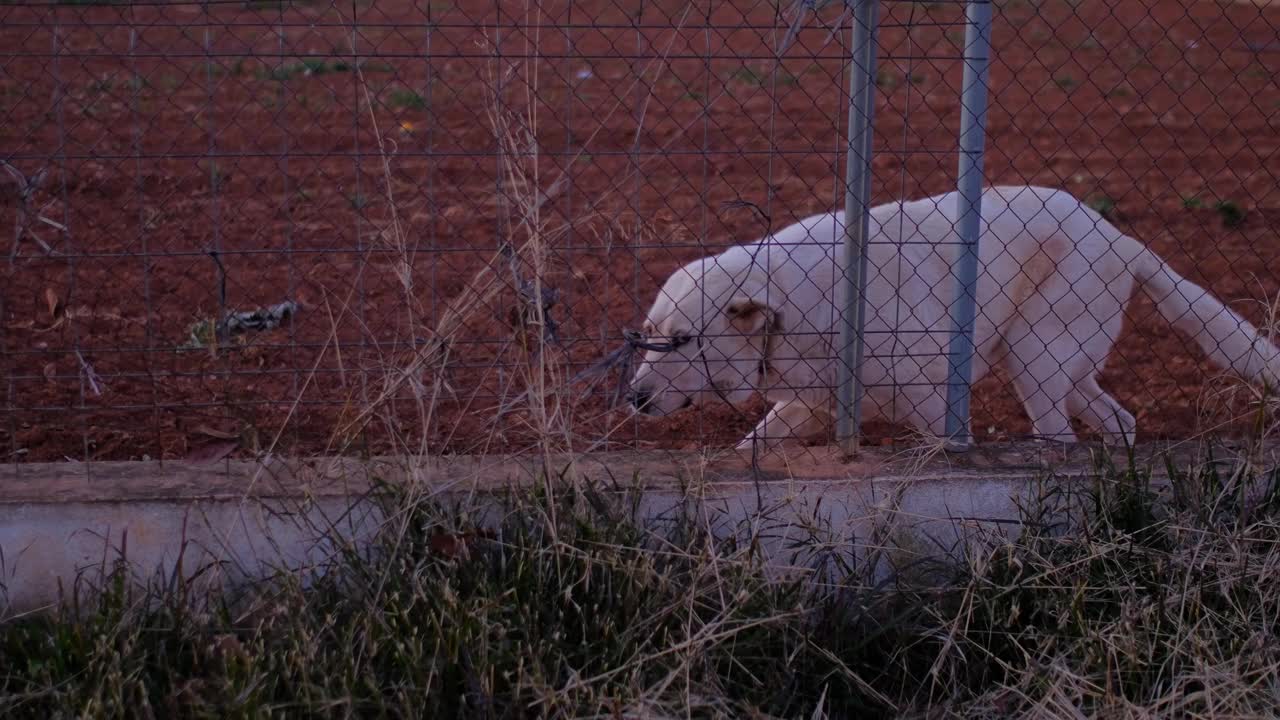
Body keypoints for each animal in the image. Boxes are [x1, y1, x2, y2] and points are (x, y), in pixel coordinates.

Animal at [627, 183, 1280, 448]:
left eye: (684, 341)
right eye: (649, 335)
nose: (632, 399)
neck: (790, 310)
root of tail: (1117, 236)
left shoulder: (935, 404)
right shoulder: (809, 406)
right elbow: (752, 446)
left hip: (1035, 363)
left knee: (1061, 438)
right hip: (1059, 370)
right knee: (1118, 422)